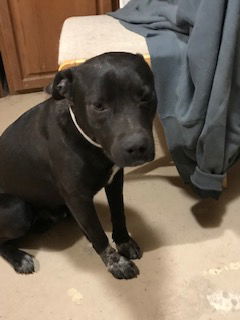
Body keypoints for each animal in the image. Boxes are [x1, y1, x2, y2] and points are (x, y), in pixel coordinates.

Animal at [0, 52, 157, 278]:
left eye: (146, 96)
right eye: (99, 106)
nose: (137, 147)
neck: (86, 139)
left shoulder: (115, 181)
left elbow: (119, 214)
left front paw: (124, 242)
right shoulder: (78, 198)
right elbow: (98, 234)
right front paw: (116, 262)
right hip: (17, 210)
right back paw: (20, 258)